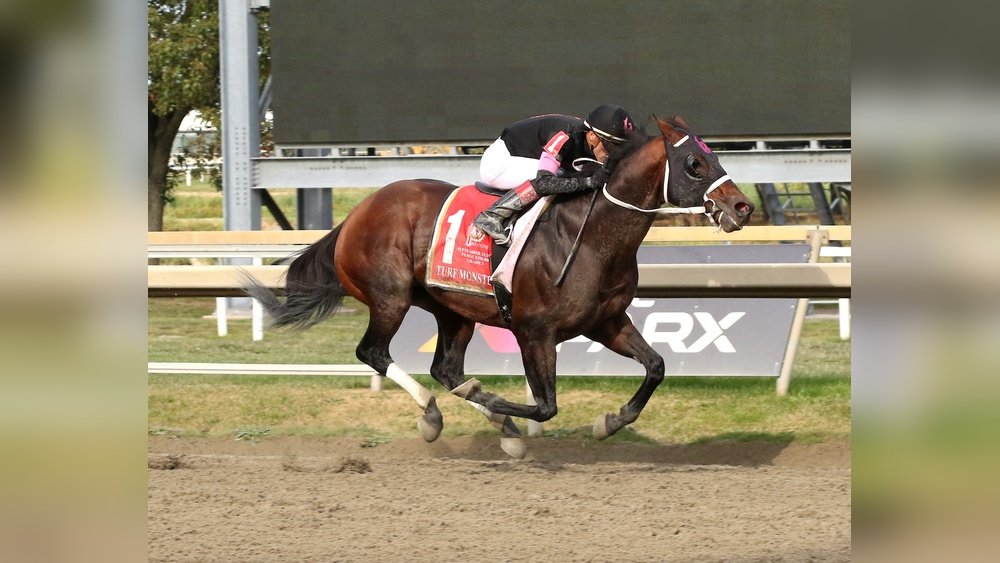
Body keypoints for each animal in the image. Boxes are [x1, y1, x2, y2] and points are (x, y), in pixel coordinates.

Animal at [243, 116, 754, 458]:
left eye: (715, 156)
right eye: (694, 163)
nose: (742, 207)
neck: (590, 236)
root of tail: (356, 214)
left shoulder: (606, 322)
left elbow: (656, 366)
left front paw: (609, 422)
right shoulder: (534, 332)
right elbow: (545, 407)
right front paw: (507, 417)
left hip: (452, 310)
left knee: (447, 369)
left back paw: (490, 419)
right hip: (391, 297)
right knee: (375, 353)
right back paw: (436, 415)